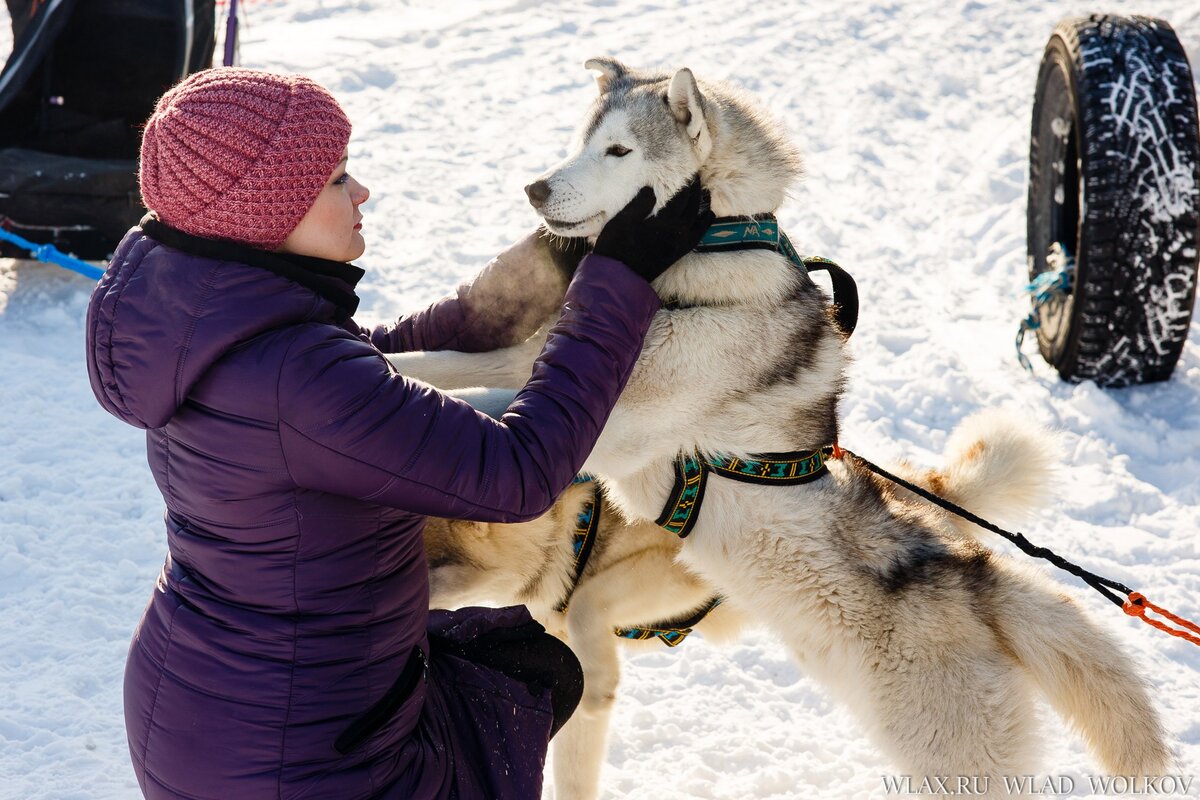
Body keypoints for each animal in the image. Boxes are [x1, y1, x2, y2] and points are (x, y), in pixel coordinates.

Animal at [393, 59, 1171, 796]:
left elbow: (493, 410)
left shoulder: (605, 421)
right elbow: (450, 367)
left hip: (955, 761)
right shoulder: (537, 358)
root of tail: (974, 576)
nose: (533, 189)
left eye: (618, 150)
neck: (697, 274)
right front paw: (382, 352)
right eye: (580, 143)